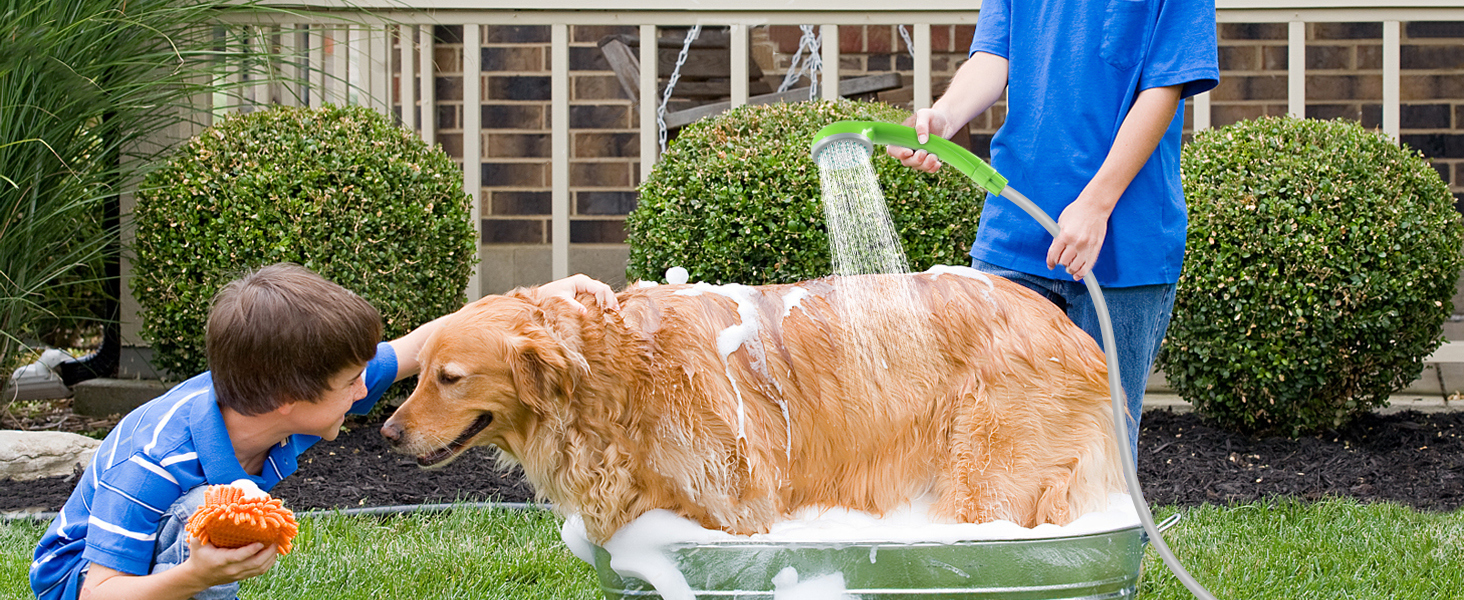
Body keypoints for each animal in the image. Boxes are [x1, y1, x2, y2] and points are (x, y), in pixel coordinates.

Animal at [377, 269, 1118, 547]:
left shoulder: (740, 509)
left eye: (449, 378)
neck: (619, 373)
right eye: (420, 374)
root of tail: (1074, 330)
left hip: (987, 477)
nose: (386, 433)